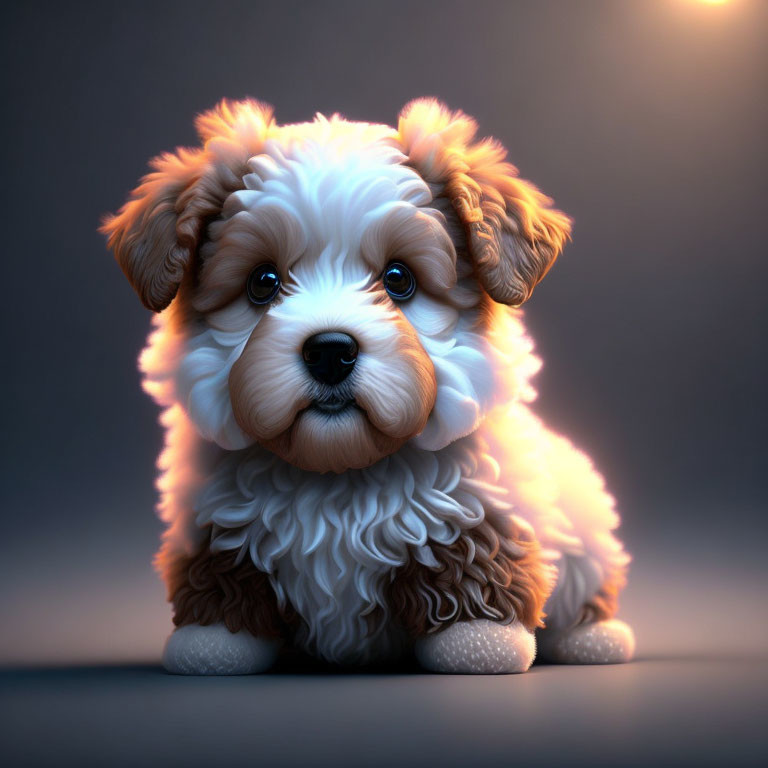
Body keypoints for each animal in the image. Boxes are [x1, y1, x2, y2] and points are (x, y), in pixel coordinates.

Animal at [103, 97, 636, 672]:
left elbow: (472, 559)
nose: (330, 352)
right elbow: (223, 575)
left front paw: (480, 642)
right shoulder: (213, 521)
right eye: (263, 283)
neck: (338, 472)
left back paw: (594, 637)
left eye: (399, 279)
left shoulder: (474, 505)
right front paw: (212, 643)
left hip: (584, 523)